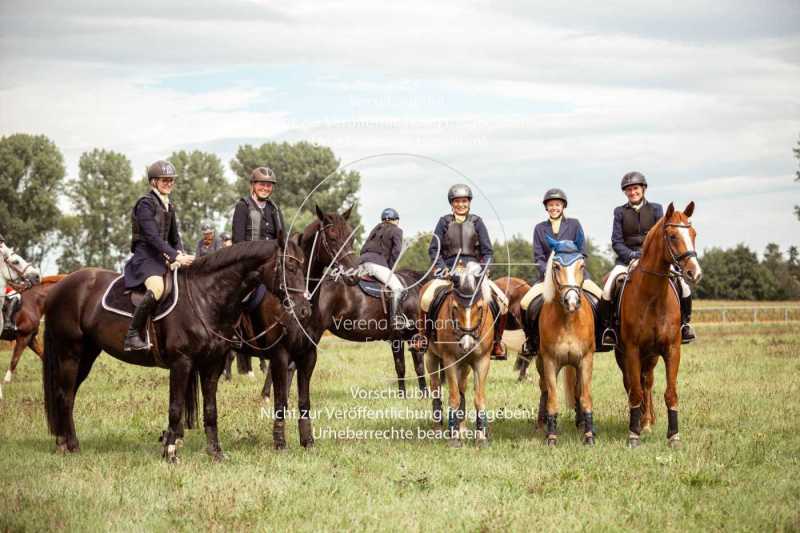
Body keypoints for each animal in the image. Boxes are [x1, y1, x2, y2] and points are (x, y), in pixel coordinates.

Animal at [39, 238, 310, 462]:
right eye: (290, 267)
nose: (304, 309)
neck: (205, 297)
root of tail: (59, 286)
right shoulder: (182, 363)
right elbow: (175, 407)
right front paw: (170, 453)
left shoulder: (212, 364)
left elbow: (210, 410)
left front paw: (215, 452)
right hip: (70, 353)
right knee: (65, 395)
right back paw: (71, 445)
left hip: (86, 355)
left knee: (67, 394)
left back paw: (63, 442)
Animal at [424, 268, 494, 446]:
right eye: (455, 307)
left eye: (479, 307)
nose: (466, 343)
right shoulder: (449, 360)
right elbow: (454, 397)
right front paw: (454, 438)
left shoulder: (482, 361)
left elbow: (478, 398)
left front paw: (481, 437)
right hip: (431, 357)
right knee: (436, 388)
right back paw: (438, 429)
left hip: (465, 365)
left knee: (462, 387)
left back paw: (461, 428)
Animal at [528, 238, 596, 444]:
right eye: (556, 266)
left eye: (582, 265)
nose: (571, 301)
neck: (568, 320)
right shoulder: (550, 362)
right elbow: (552, 398)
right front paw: (551, 436)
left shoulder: (586, 360)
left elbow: (585, 396)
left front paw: (589, 435)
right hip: (541, 362)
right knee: (544, 389)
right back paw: (541, 425)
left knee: (577, 389)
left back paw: (581, 424)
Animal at [612, 202, 700, 446]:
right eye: (672, 236)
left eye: (693, 234)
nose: (695, 273)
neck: (652, 295)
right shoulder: (632, 350)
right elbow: (634, 391)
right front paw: (633, 434)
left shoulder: (672, 349)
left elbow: (670, 392)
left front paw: (674, 435)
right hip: (624, 355)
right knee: (632, 384)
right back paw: (640, 421)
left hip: (650, 356)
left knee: (647, 382)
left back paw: (647, 421)